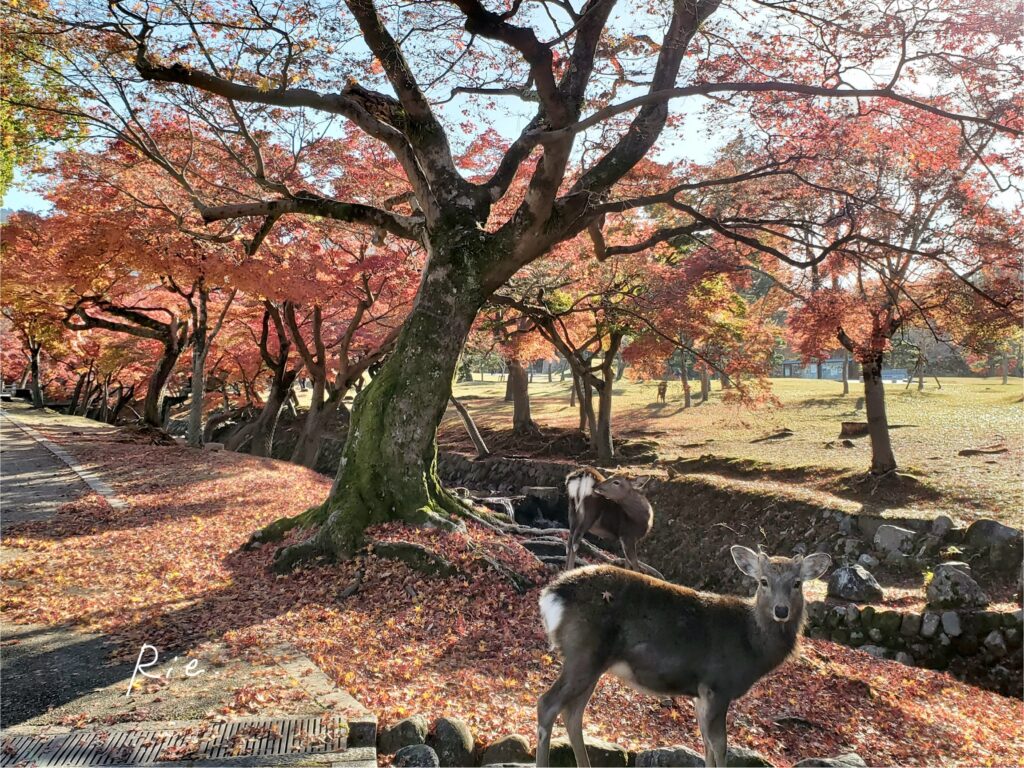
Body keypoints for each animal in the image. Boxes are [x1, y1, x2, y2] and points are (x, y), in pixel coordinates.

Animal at [536, 546, 832, 768]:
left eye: (797, 583)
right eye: (763, 582)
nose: (781, 610)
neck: (752, 645)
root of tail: (550, 595)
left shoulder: (699, 694)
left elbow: (706, 745)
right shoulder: (717, 685)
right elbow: (720, 746)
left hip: (593, 664)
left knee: (573, 714)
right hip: (583, 654)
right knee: (547, 704)